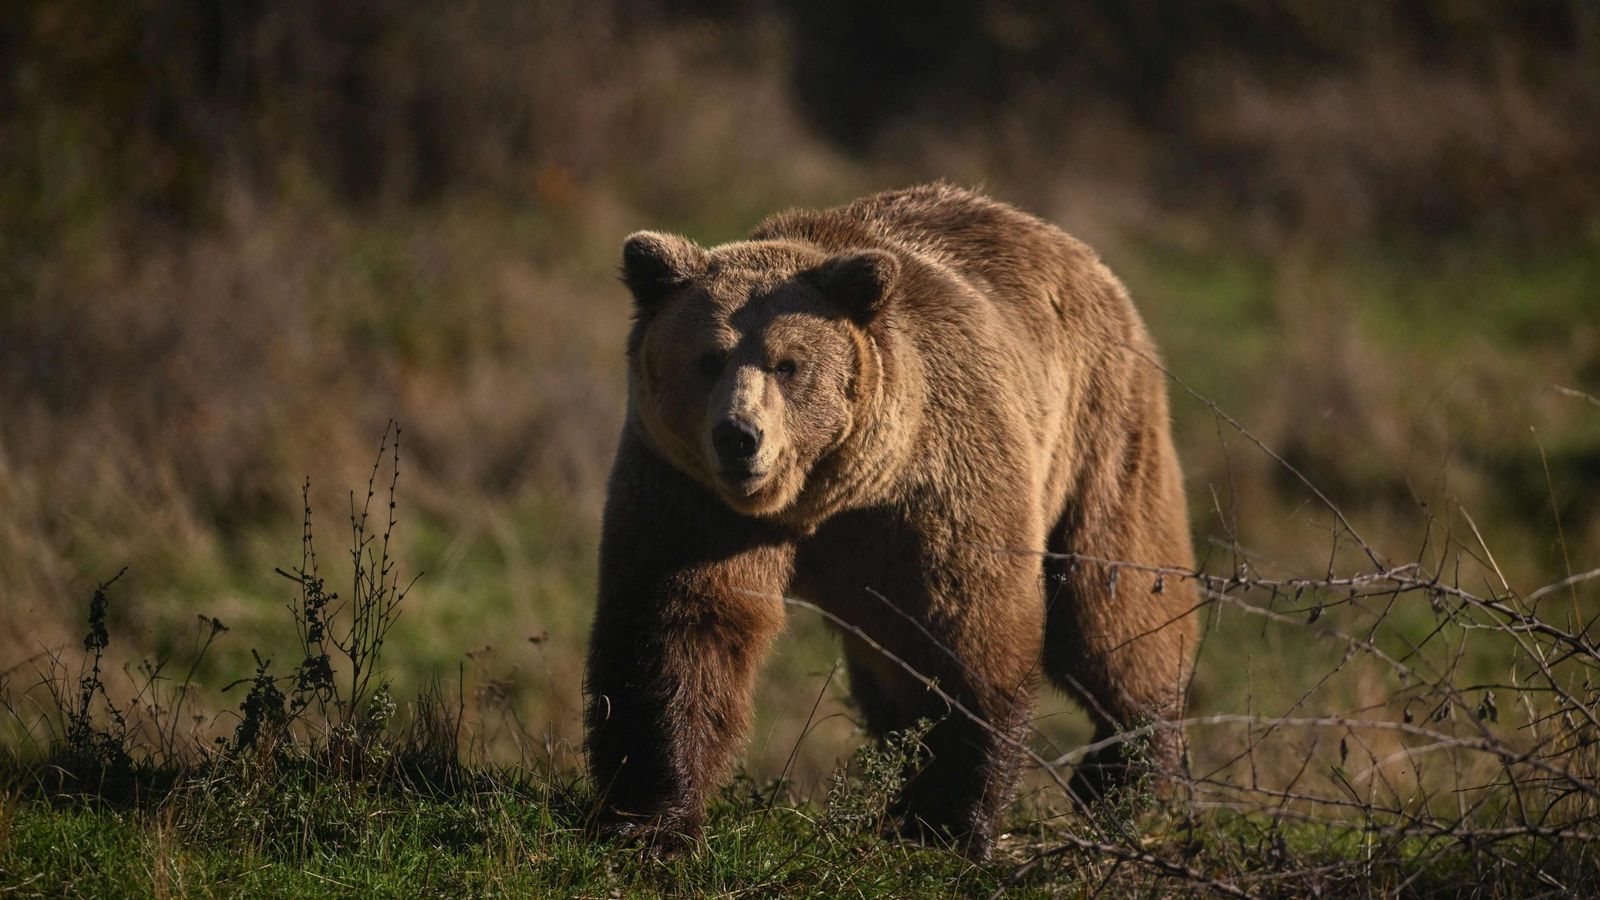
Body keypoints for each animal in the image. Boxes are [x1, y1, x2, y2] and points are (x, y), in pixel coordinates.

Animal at [584, 183, 1197, 858]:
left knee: (1114, 606)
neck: (823, 495)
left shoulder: (935, 491)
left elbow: (967, 632)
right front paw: (651, 818)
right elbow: (680, 628)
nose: (739, 436)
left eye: (787, 363)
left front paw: (947, 818)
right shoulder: (691, 494)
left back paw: (1124, 773)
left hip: (1099, 435)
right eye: (708, 358)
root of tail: (1078, 253)